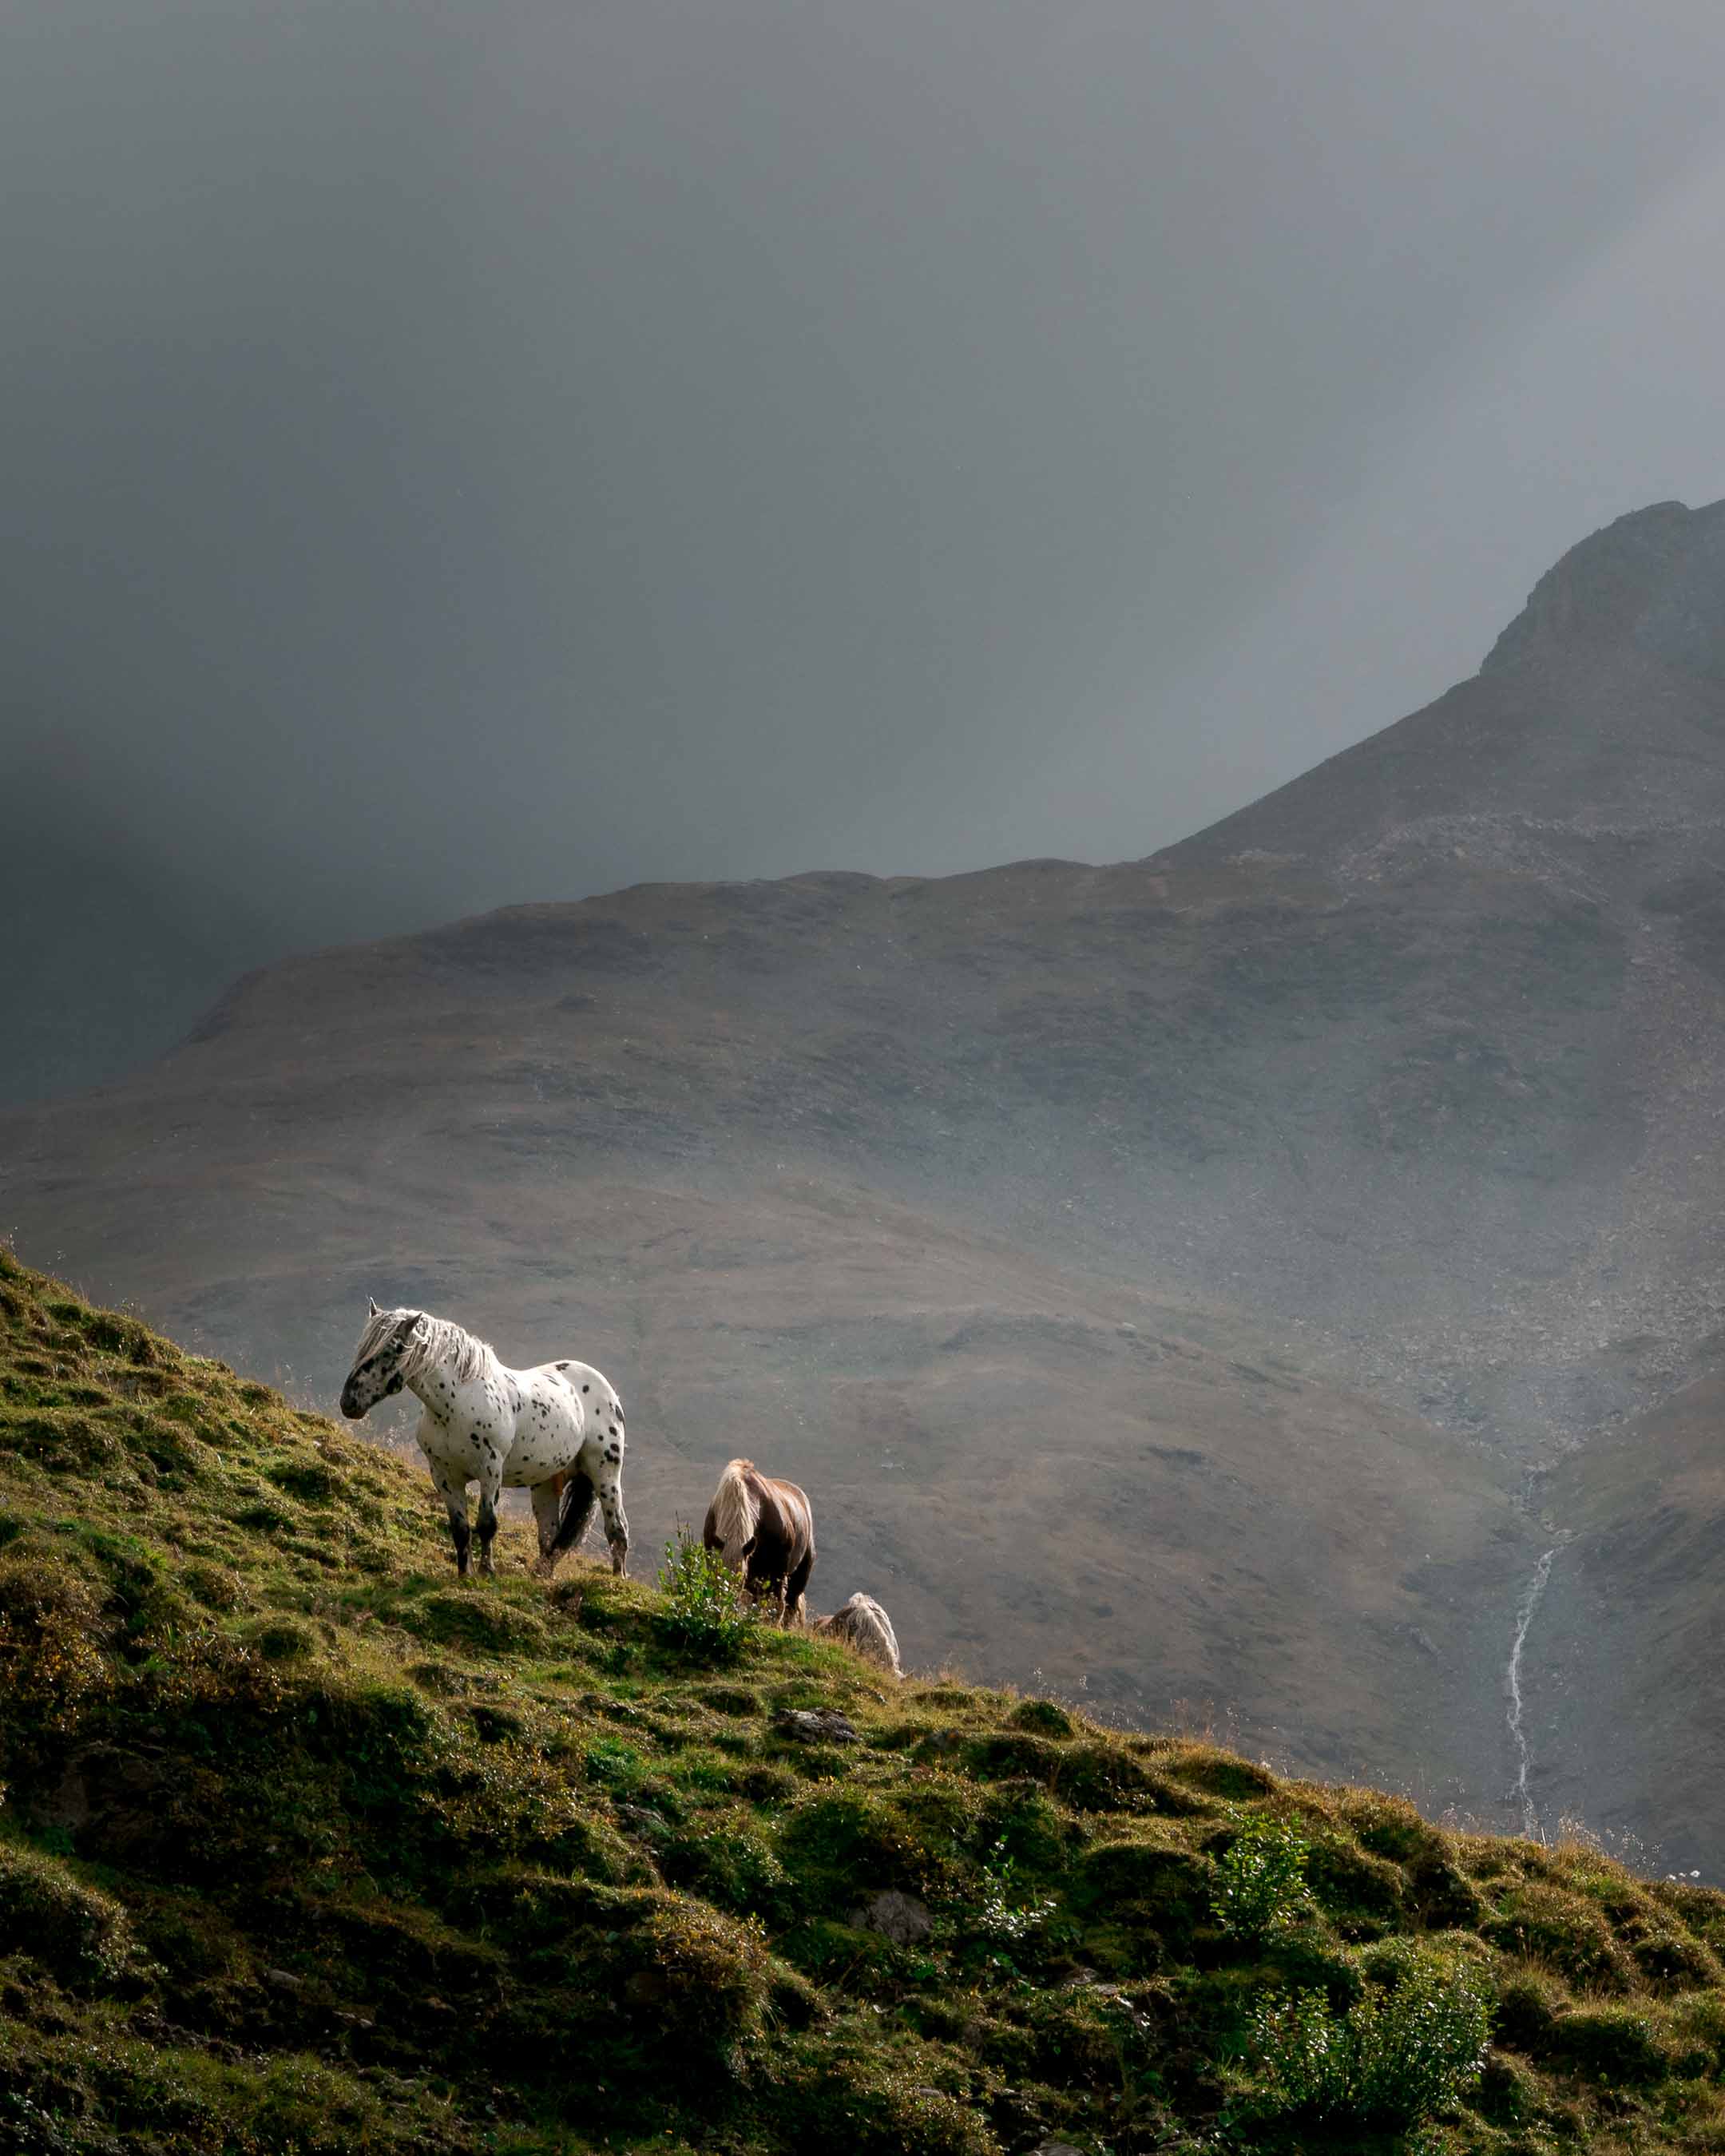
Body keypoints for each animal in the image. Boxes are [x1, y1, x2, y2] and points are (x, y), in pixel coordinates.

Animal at [339, 1301, 628, 1580]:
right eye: (363, 1346)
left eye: (394, 1349)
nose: (349, 1402)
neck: (456, 1405)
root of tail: (604, 1388)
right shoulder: (444, 1476)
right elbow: (460, 1528)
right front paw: (464, 1574)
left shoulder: (490, 1471)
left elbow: (487, 1524)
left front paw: (487, 1571)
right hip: (546, 1483)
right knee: (549, 1535)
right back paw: (541, 1576)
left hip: (605, 1474)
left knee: (617, 1529)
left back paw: (617, 1579)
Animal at [702, 1458, 815, 1622]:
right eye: (718, 1576)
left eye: (740, 1580)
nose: (723, 1609)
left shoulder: (777, 1572)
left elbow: (777, 1607)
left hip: (798, 1573)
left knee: (790, 1605)